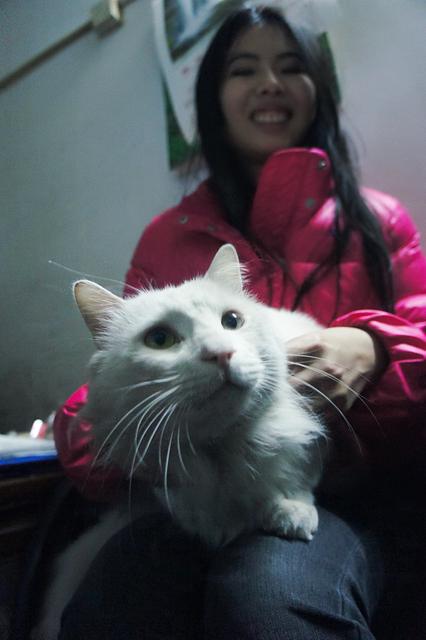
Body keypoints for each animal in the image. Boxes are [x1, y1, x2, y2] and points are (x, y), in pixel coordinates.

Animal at [33, 243, 326, 640]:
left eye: (232, 321)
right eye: (160, 340)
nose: (221, 353)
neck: (220, 448)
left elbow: (292, 472)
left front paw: (289, 512)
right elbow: (186, 501)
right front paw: (214, 524)